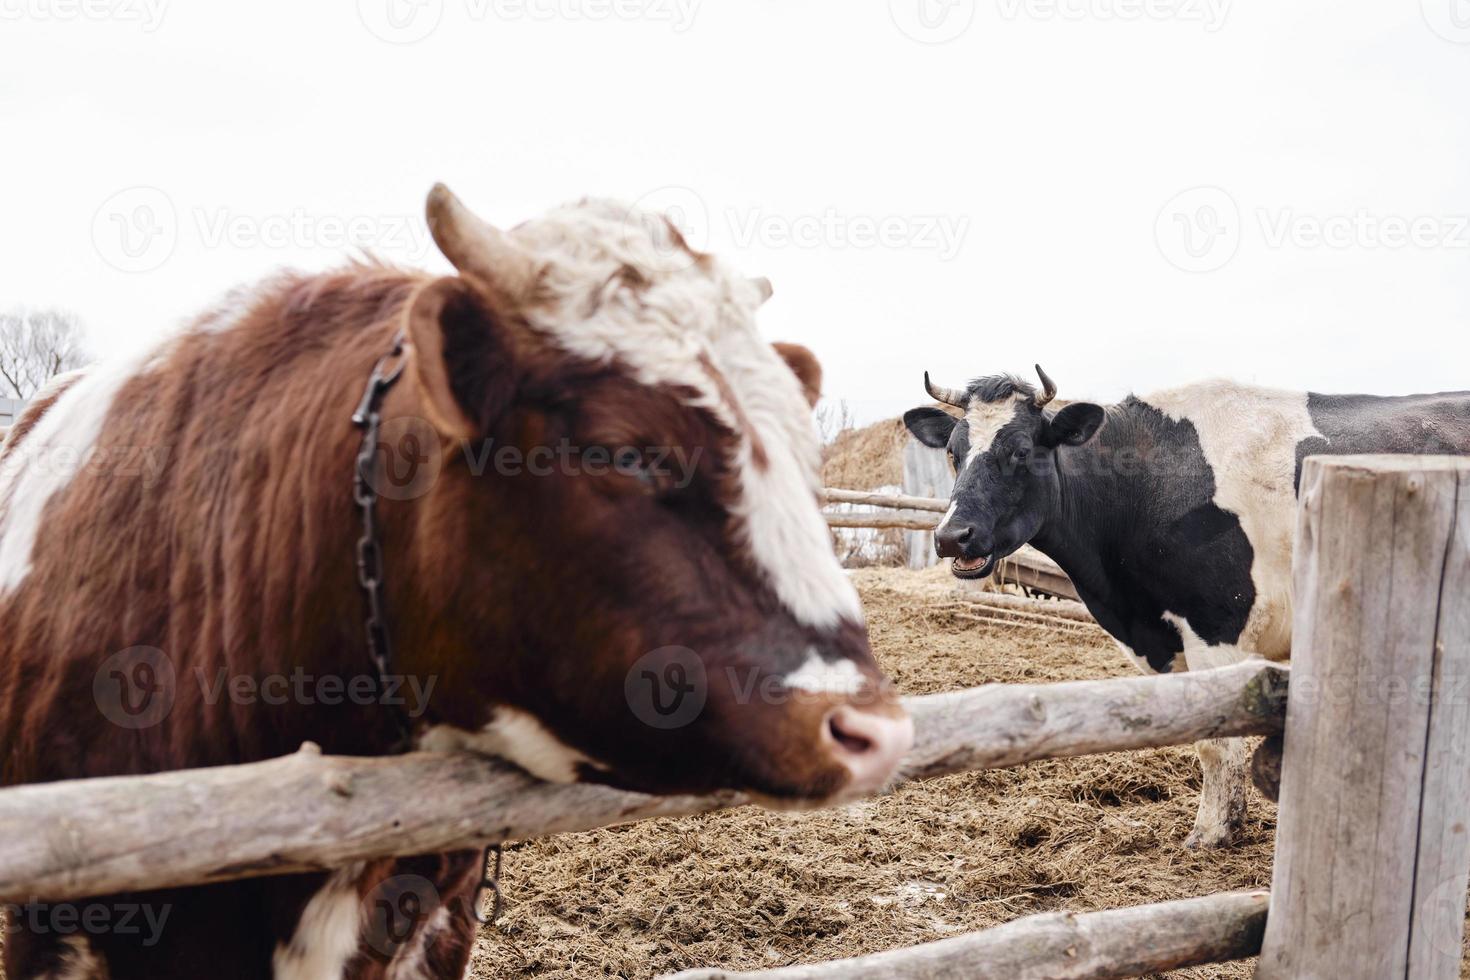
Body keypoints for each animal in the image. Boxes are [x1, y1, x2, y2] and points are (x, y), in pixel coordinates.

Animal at [905, 371, 1470, 846]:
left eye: (1021, 450)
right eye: (954, 452)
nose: (953, 536)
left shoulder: (1216, 626)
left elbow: (1218, 743)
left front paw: (1214, 832)